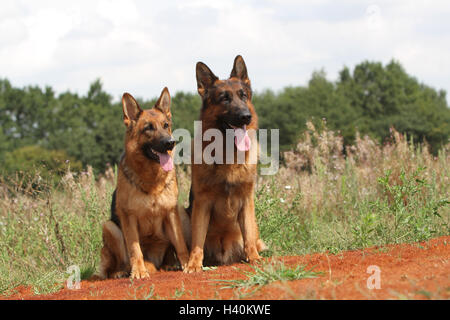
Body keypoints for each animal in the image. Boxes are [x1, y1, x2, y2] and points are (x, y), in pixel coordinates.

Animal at [98, 88, 190, 280]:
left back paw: (169, 265)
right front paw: (139, 271)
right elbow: (135, 249)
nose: (170, 142)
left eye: (165, 125)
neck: (151, 179)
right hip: (110, 227)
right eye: (148, 128)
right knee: (117, 265)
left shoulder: (171, 212)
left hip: (180, 213)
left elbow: (180, 244)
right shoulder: (128, 217)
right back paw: (122, 272)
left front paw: (188, 264)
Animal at [185, 55, 266, 272]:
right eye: (224, 98)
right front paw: (193, 264)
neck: (228, 155)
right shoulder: (202, 203)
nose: (246, 116)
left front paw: (254, 259)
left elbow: (248, 236)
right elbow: (197, 240)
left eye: (243, 95)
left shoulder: (246, 201)